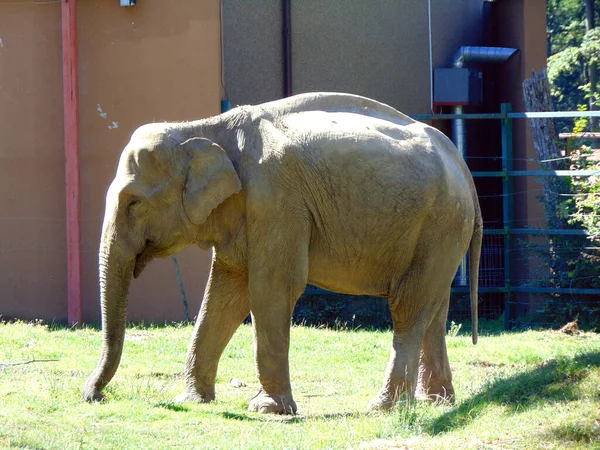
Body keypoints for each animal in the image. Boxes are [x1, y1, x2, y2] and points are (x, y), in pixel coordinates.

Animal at [82, 92, 482, 414]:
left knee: (409, 306)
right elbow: (225, 296)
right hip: (442, 231)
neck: (205, 129)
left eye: (133, 203)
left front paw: (267, 410)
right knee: (435, 307)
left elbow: (271, 289)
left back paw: (384, 407)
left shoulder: (275, 201)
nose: (94, 395)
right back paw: (436, 402)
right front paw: (192, 400)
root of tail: (463, 165)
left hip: (440, 221)